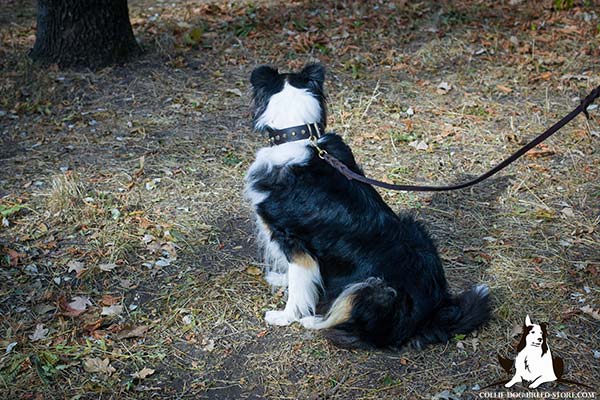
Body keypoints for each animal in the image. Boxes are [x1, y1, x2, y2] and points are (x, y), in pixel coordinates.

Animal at [246, 64, 490, 348]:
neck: (297, 136)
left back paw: (314, 321)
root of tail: (430, 316)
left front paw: (285, 316)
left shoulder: (294, 242)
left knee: (361, 331)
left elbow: (298, 285)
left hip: (373, 289)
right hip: (415, 229)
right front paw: (280, 278)